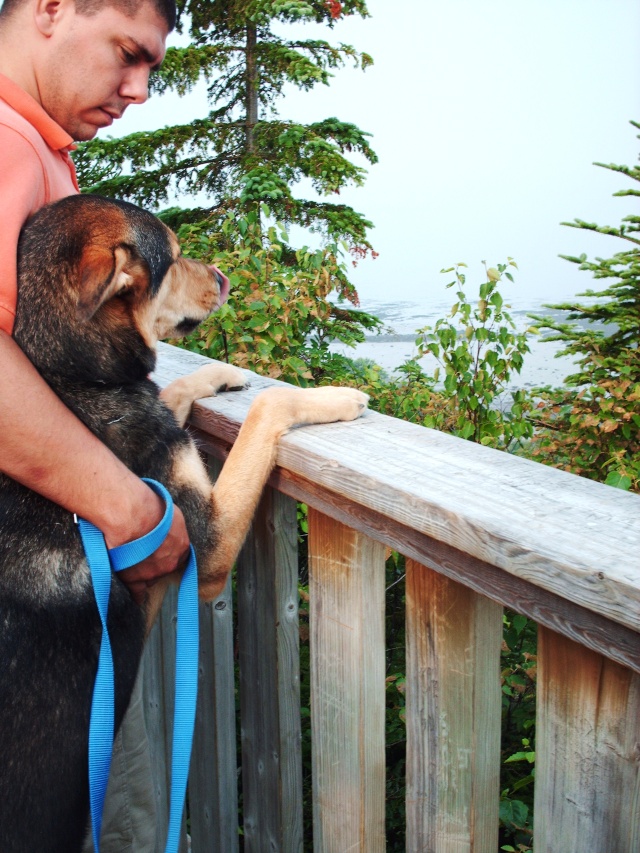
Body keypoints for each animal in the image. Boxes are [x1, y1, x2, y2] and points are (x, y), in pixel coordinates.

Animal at [0, 195, 368, 852]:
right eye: (172, 257)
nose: (223, 277)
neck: (72, 373)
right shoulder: (209, 541)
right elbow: (269, 405)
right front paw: (335, 397)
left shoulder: (161, 427)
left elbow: (173, 388)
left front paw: (221, 374)